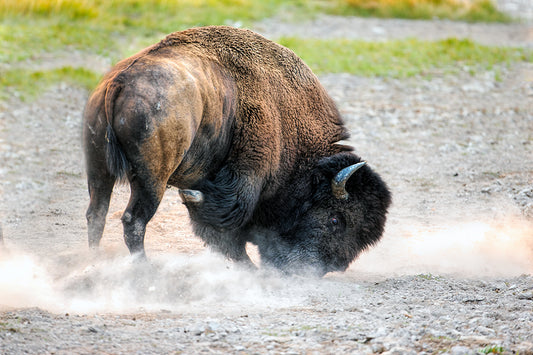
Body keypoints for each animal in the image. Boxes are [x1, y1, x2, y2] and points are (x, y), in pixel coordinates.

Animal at [83, 26, 390, 276]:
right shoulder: (246, 177)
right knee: (133, 220)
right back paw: (144, 269)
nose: (320, 269)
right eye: (336, 218)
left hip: (98, 169)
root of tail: (119, 82)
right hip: (151, 179)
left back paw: (96, 262)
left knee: (96, 214)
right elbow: (228, 222)